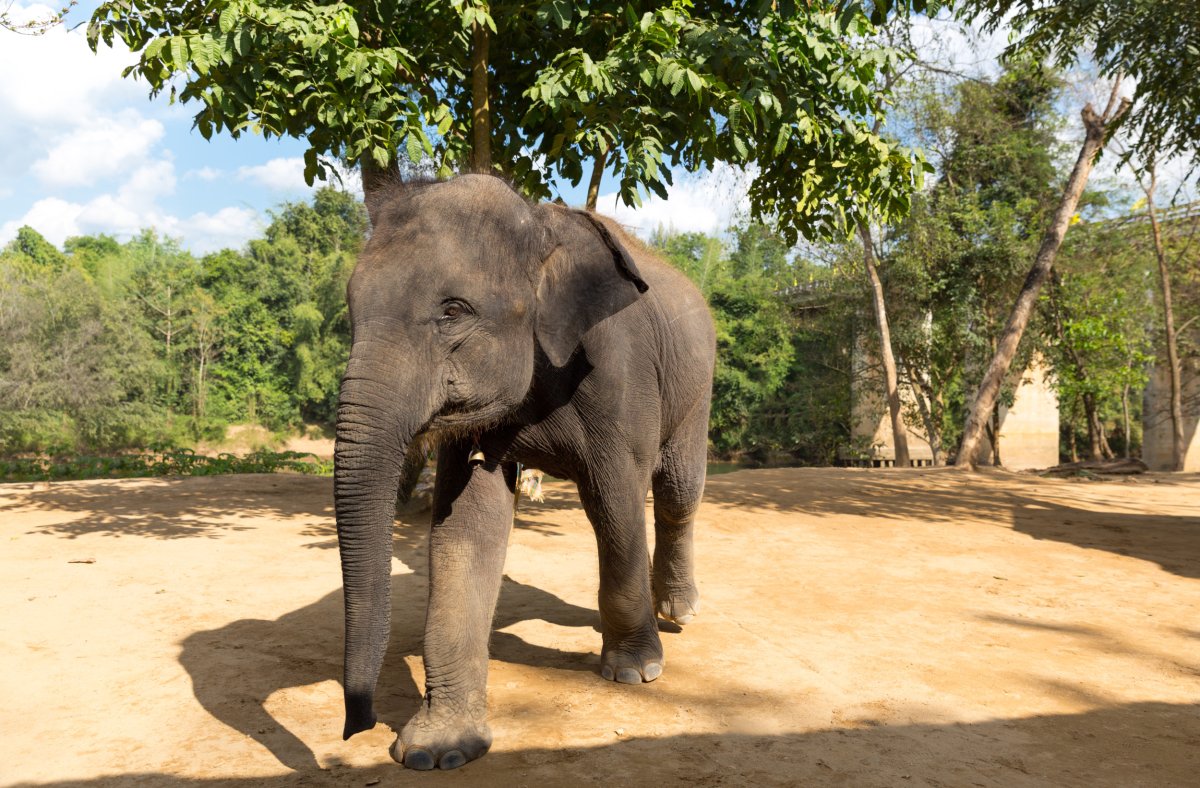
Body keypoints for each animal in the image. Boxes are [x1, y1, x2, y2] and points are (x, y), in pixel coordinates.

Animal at [333, 172, 715, 767]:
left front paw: (634, 672)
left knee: (677, 491)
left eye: (453, 312)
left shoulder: (617, 371)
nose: (358, 727)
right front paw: (438, 751)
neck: (538, 220)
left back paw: (677, 613)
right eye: (350, 307)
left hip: (696, 385)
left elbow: (615, 502)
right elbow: (468, 527)